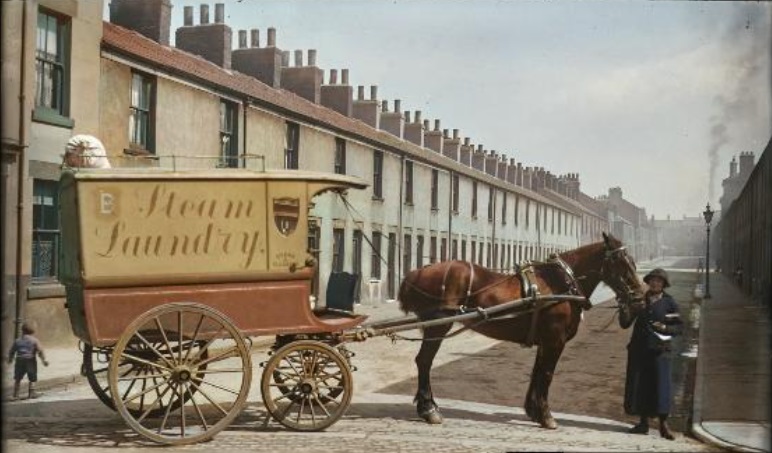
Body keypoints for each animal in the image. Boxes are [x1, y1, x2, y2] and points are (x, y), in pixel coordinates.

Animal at [398, 233, 644, 428]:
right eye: (621, 261)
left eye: (632, 261)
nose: (639, 298)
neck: (562, 282)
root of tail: (418, 272)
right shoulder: (555, 341)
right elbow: (547, 374)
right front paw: (546, 416)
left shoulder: (545, 342)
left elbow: (537, 373)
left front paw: (534, 411)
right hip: (438, 325)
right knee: (424, 361)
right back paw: (429, 409)